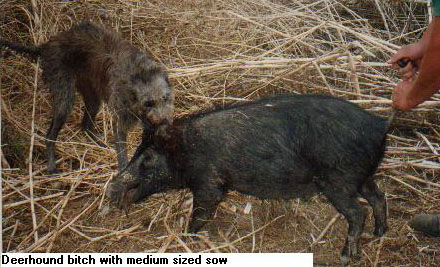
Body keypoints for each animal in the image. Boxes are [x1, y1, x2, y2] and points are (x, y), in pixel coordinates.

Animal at [1, 22, 174, 174]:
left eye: (165, 98)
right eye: (148, 103)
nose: (165, 122)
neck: (139, 73)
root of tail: (48, 45)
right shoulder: (121, 119)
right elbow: (122, 154)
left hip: (92, 96)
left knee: (85, 125)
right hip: (64, 97)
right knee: (50, 135)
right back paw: (51, 167)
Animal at [108, 94, 390, 266]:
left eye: (148, 158)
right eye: (137, 150)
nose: (114, 184)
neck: (187, 149)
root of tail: (380, 124)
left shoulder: (209, 182)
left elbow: (201, 212)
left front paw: (187, 238)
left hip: (338, 180)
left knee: (358, 212)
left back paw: (347, 256)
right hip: (363, 176)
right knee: (379, 197)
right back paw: (379, 234)